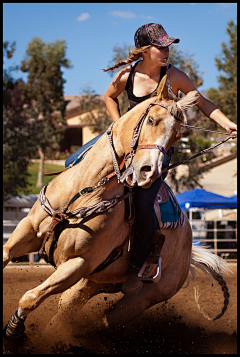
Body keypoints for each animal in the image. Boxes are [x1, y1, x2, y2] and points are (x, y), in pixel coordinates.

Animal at [1, 73, 231, 342]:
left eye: (177, 136)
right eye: (151, 120)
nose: (149, 172)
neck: (84, 191)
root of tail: (188, 250)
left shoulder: (79, 263)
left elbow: (30, 297)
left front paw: (14, 331)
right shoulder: (27, 230)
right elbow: (7, 256)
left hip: (143, 297)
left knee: (100, 319)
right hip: (98, 281)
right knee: (67, 307)